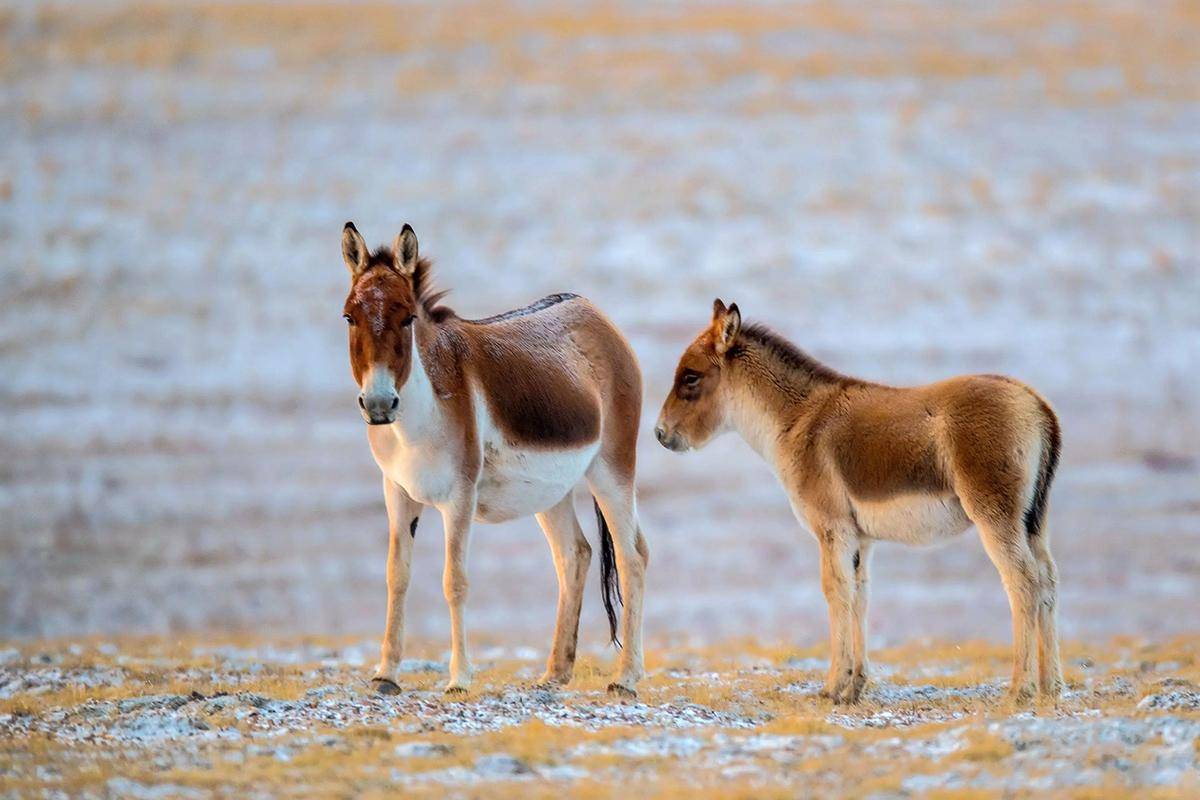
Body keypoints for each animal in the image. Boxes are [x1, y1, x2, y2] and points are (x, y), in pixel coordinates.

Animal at [662, 302, 1065, 705]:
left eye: (691, 377)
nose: (660, 433)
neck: (800, 419)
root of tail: (1036, 403)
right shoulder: (861, 540)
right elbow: (861, 597)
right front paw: (854, 687)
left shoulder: (832, 530)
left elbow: (836, 592)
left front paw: (832, 687)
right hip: (1034, 521)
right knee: (1047, 580)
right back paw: (1051, 688)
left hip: (995, 517)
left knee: (1022, 581)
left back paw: (1020, 689)